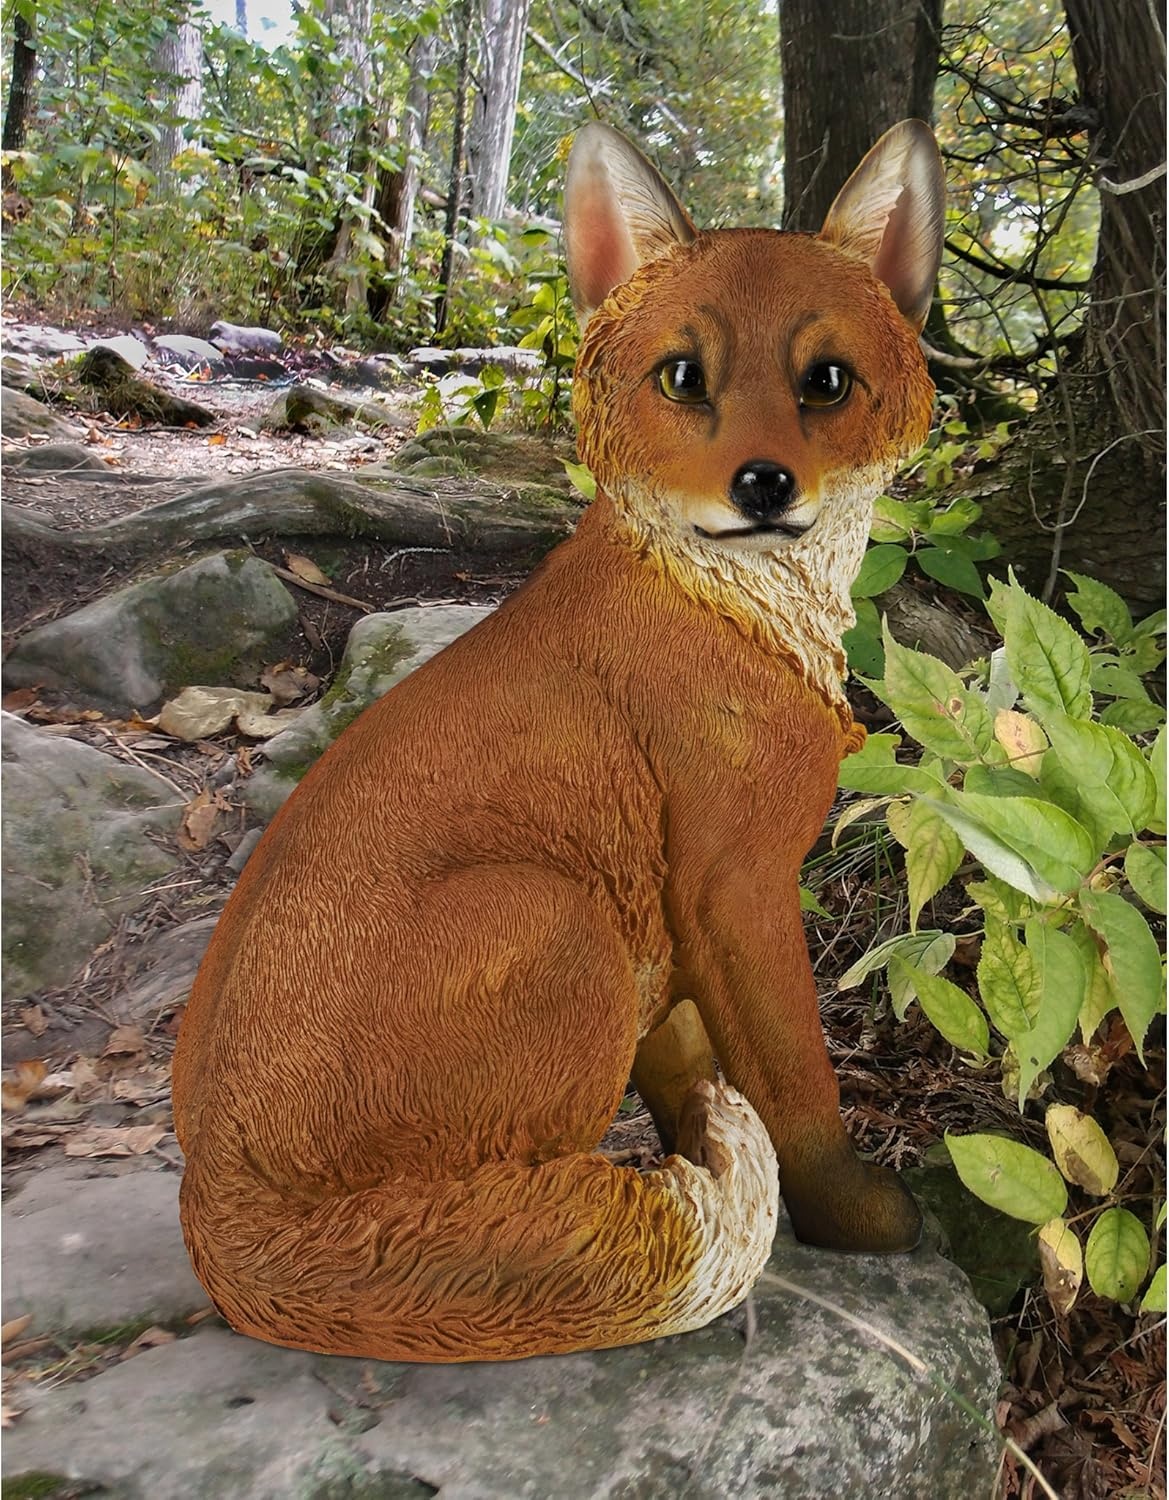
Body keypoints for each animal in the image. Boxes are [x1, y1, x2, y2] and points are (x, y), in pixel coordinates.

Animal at [172, 119, 945, 1363]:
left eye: (824, 380)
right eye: (683, 377)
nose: (762, 483)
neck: (735, 610)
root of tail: (214, 1208)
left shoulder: (666, 918)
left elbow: (690, 1072)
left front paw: (701, 1153)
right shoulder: (732, 884)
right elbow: (795, 1084)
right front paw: (851, 1217)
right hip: (556, 915)